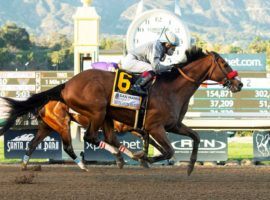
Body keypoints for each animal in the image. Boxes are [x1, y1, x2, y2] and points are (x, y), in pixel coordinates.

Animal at [0, 47, 244, 175]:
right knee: (87, 139)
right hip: (92, 113)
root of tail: (66, 85)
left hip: (60, 123)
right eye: (224, 63)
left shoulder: (172, 124)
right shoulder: (154, 126)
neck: (171, 88)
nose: (239, 83)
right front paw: (146, 158)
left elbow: (196, 136)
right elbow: (167, 150)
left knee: (36, 143)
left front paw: (191, 166)